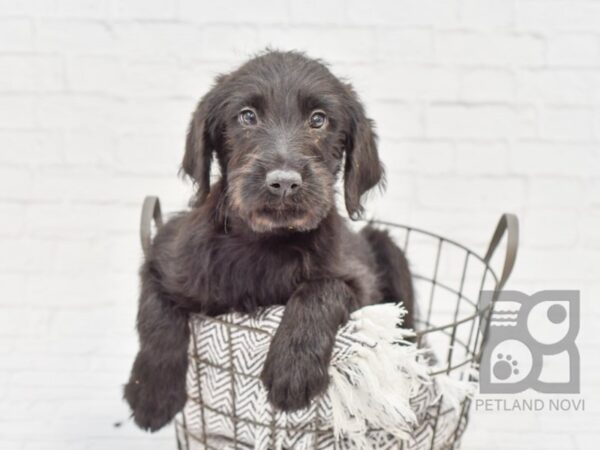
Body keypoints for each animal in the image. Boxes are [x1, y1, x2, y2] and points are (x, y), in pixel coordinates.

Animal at [122, 50, 412, 432]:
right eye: (247, 116)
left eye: (318, 120)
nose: (284, 183)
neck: (267, 242)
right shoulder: (165, 253)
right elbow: (157, 310)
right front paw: (151, 392)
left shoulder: (361, 285)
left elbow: (323, 289)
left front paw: (294, 367)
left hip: (386, 246)